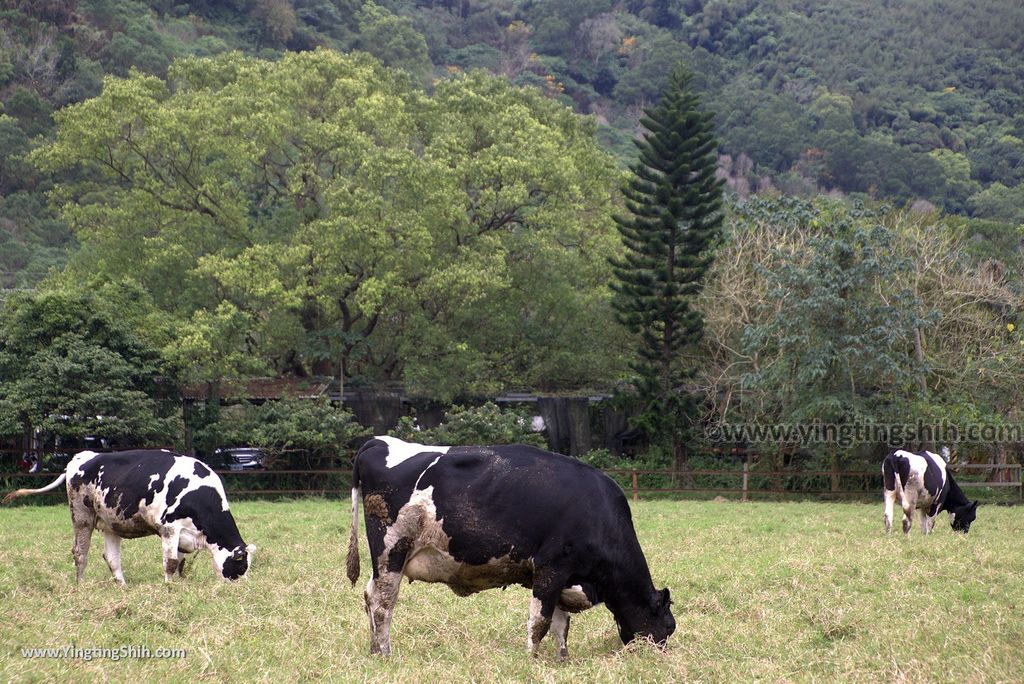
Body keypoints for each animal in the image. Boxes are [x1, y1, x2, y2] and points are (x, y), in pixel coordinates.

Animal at [2, 448, 256, 581]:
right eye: (240, 568)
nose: (240, 589)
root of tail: (83, 456)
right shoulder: (169, 528)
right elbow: (171, 563)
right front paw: (169, 587)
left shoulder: (184, 537)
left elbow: (181, 563)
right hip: (82, 517)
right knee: (80, 553)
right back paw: (80, 585)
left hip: (110, 522)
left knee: (111, 558)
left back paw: (123, 586)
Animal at [348, 438, 675, 655]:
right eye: (668, 626)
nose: (659, 656)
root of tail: (380, 441)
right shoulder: (551, 567)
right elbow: (539, 621)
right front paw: (532, 659)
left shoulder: (563, 578)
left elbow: (561, 625)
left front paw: (562, 660)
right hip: (392, 551)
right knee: (382, 602)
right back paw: (385, 652)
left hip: (385, 561)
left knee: (369, 595)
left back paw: (374, 649)